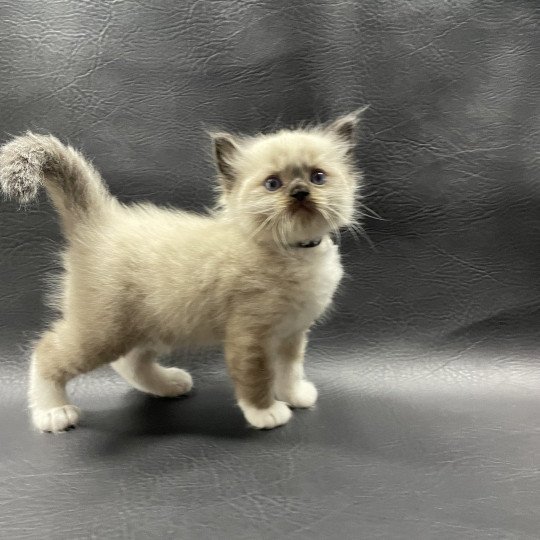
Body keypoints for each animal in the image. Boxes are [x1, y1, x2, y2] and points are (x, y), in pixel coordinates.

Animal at [1, 112, 362, 432]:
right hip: (103, 332)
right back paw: (53, 412)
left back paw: (169, 384)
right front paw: (266, 413)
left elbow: (289, 370)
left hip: (152, 325)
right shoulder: (250, 336)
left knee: (130, 362)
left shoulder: (292, 334)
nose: (300, 192)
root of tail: (102, 222)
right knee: (46, 352)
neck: (294, 253)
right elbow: (256, 377)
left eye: (317, 177)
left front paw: (294, 395)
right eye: (273, 184)